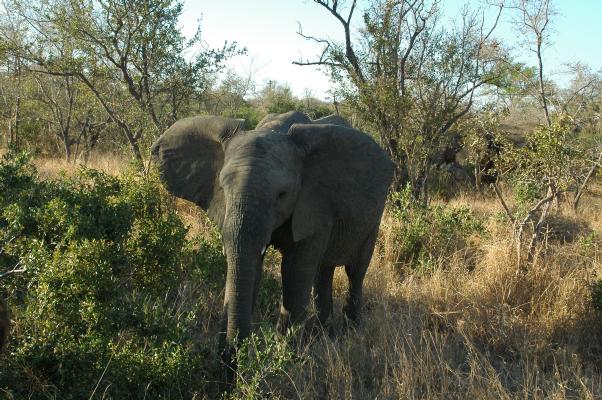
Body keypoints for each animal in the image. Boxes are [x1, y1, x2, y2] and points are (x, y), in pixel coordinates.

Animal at [150, 110, 394, 350]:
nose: (228, 355)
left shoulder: (315, 203)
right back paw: (321, 332)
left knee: (355, 270)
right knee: (324, 269)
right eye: (221, 188)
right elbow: (253, 267)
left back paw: (351, 332)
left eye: (282, 195)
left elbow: (294, 271)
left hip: (374, 218)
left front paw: (287, 354)